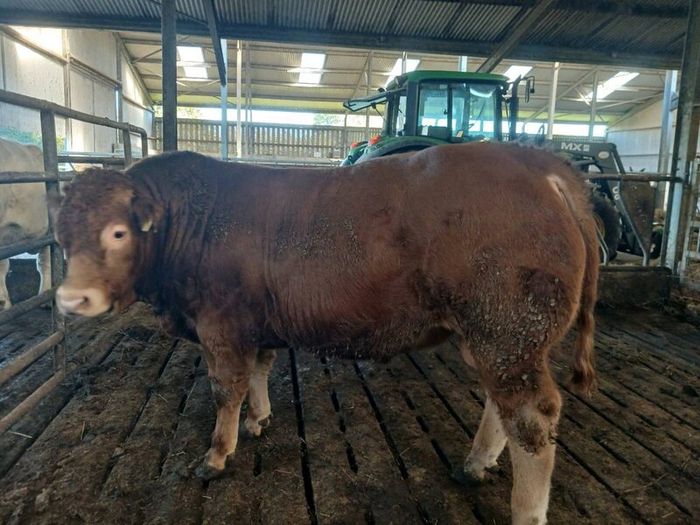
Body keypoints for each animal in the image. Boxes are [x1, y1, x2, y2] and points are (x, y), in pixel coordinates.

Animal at [52, 142, 598, 525]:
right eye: (61, 233)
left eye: (118, 232)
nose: (72, 299)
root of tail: (540, 165)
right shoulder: (257, 325)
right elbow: (260, 371)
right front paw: (259, 419)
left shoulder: (220, 324)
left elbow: (225, 389)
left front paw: (217, 454)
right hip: (491, 338)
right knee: (499, 404)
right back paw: (474, 464)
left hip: (507, 331)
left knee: (531, 417)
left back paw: (525, 509)